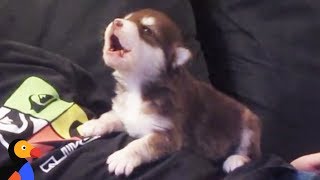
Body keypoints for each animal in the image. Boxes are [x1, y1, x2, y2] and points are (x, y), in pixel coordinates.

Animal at [79, 9, 262, 176]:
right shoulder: (127, 114)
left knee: (250, 152)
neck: (136, 86)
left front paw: (122, 157)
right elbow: (110, 116)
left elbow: (141, 144)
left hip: (249, 123)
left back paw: (236, 160)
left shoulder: (169, 134)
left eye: (147, 30)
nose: (116, 21)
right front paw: (93, 124)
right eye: (127, 18)